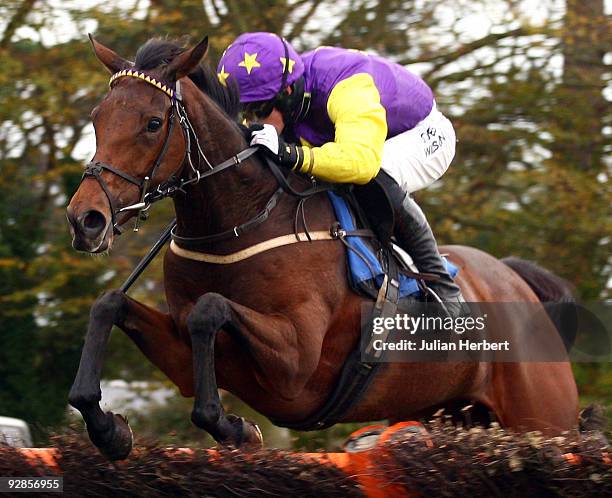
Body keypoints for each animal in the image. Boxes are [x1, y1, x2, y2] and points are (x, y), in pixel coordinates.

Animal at [65, 37, 580, 462]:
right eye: (96, 119)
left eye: (153, 123)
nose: (86, 219)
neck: (242, 220)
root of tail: (517, 281)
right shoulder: (187, 359)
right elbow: (110, 304)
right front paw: (108, 428)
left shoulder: (297, 367)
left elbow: (209, 310)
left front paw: (234, 428)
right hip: (454, 412)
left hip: (546, 421)